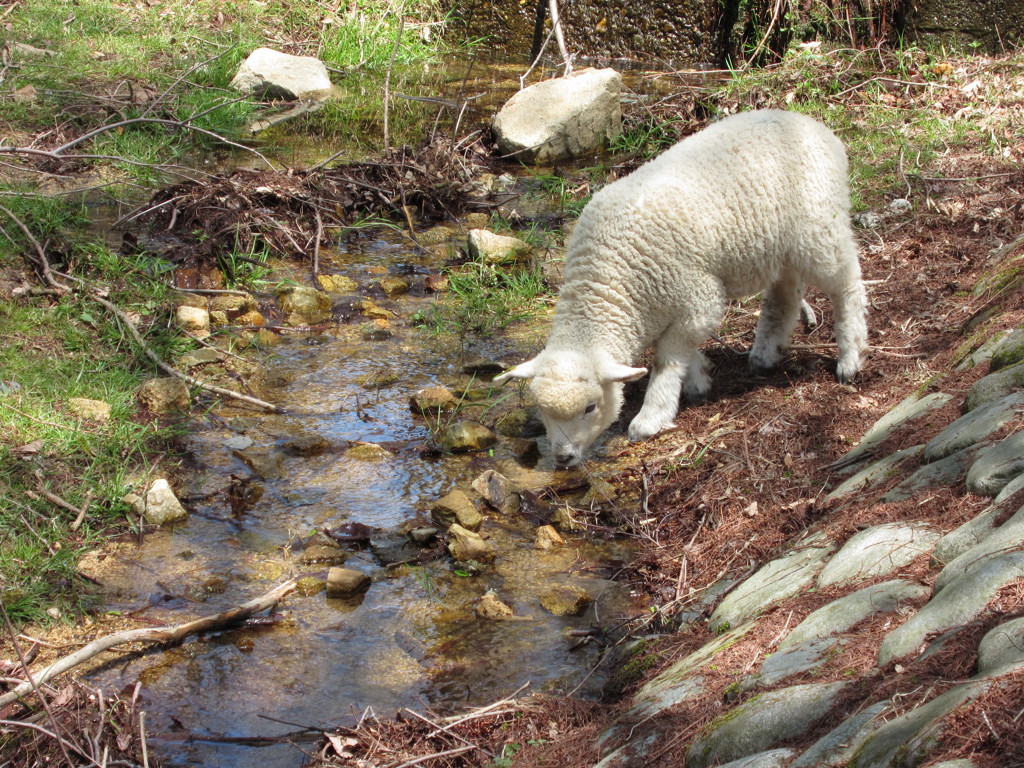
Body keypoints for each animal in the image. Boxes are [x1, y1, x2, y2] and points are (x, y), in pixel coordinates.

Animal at [491, 108, 868, 468]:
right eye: (542, 411)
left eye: (590, 407)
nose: (563, 458)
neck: (606, 282)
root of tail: (812, 125)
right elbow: (677, 350)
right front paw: (698, 375)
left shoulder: (697, 299)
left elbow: (666, 358)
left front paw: (653, 415)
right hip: (782, 246)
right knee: (784, 296)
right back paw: (765, 354)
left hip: (819, 228)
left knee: (848, 286)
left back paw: (850, 356)